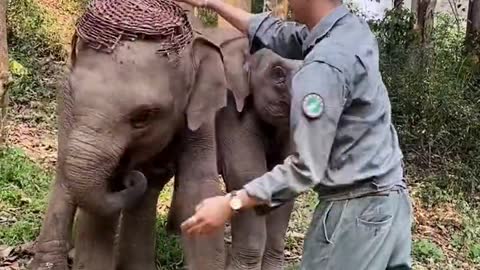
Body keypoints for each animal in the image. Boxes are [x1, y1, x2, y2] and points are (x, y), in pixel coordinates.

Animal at [29, 3, 232, 268]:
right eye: (75, 94)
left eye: (144, 116)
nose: (129, 176)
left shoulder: (201, 114)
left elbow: (198, 188)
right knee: (65, 172)